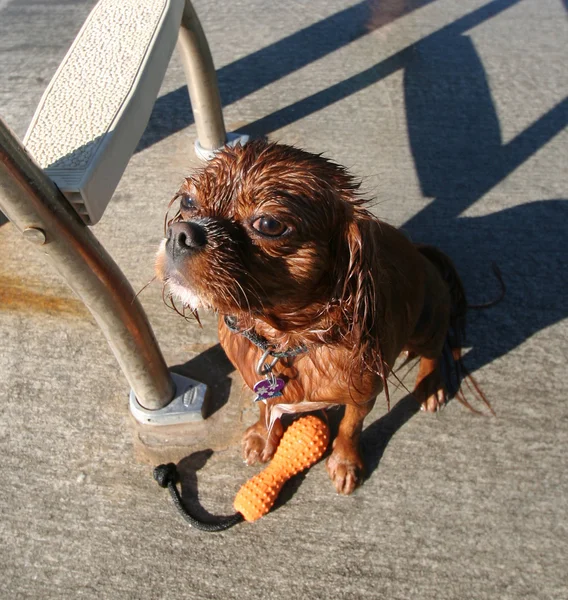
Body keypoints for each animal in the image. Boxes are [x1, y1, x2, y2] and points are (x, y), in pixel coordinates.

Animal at [155, 139, 466, 492]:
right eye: (188, 201)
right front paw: (263, 437)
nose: (181, 233)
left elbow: (349, 427)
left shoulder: (363, 397)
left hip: (427, 323)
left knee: (434, 351)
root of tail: (422, 253)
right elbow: (266, 405)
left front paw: (345, 462)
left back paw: (431, 386)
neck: (285, 341)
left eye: (269, 225)